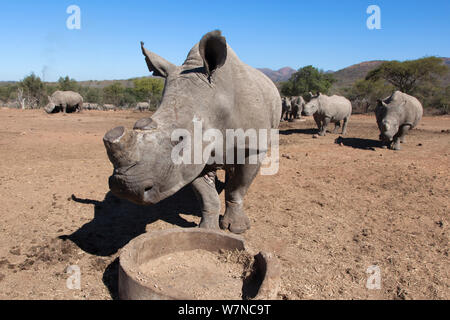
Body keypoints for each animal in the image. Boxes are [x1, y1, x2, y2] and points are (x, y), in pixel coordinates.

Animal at [102, 30, 282, 234]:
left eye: (180, 138)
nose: (126, 188)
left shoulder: (253, 147)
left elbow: (238, 188)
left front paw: (237, 229)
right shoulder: (193, 157)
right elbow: (207, 196)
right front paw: (208, 230)